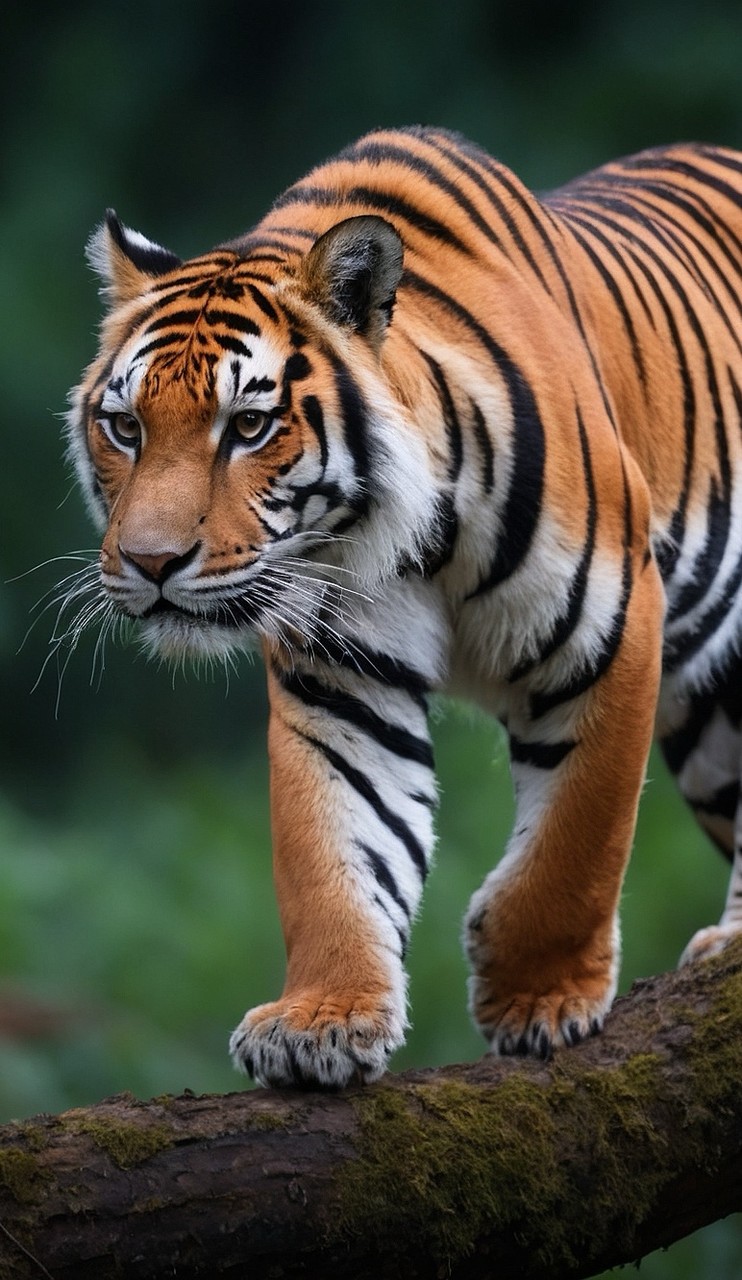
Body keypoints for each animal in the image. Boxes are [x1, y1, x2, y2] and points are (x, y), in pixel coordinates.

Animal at [67, 126, 742, 1089]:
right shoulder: (342, 683)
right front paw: (320, 1023)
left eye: (247, 427)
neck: (408, 536)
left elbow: (577, 837)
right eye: (126, 427)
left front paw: (538, 996)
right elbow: (332, 855)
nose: (152, 563)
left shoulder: (613, 626)